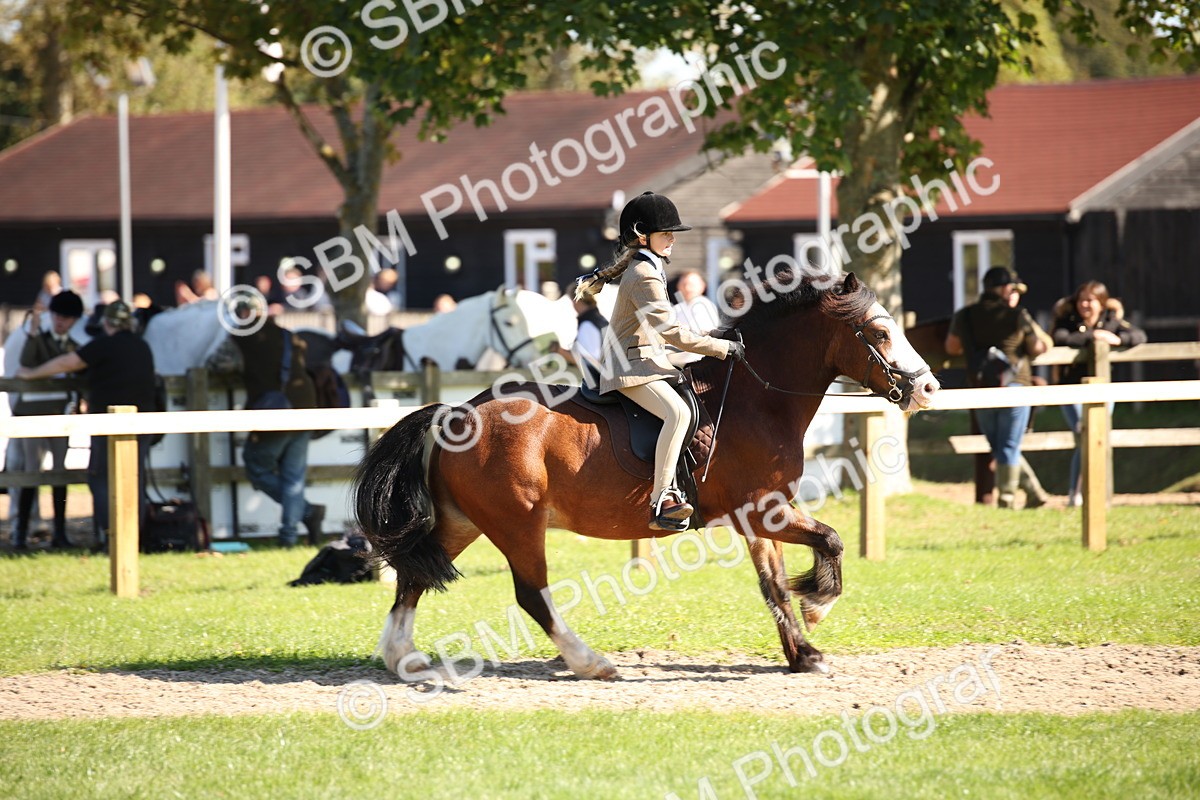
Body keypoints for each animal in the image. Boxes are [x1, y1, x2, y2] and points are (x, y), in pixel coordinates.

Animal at [354, 272, 941, 680]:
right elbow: (830, 540)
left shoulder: (762, 518)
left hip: (464, 522)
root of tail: (456, 412)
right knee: (532, 595)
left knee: (413, 578)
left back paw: (403, 659)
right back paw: (591, 662)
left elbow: (773, 584)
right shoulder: (763, 509)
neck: (757, 400)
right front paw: (818, 607)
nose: (928, 388)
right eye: (880, 332)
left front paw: (803, 654)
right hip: (518, 523)